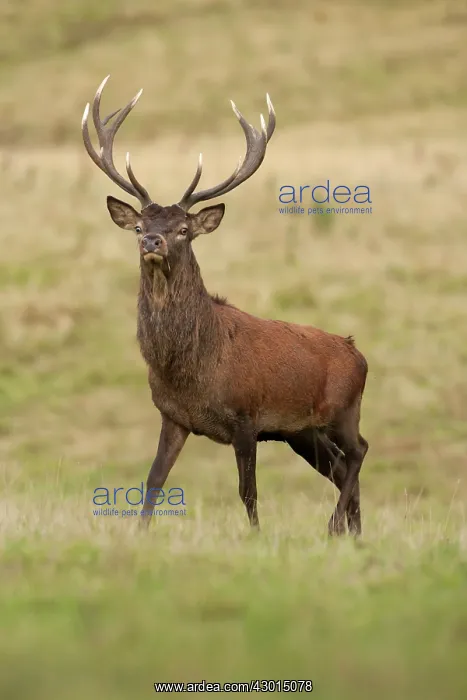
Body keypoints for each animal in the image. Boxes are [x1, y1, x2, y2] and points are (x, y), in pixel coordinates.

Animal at [82, 76, 369, 536]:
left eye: (183, 229)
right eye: (140, 226)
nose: (152, 242)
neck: (191, 369)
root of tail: (358, 353)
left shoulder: (246, 417)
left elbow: (247, 491)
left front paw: (255, 537)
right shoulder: (173, 417)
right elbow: (153, 482)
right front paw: (138, 535)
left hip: (343, 410)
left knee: (359, 451)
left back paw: (332, 527)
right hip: (302, 431)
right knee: (342, 469)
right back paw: (353, 534)